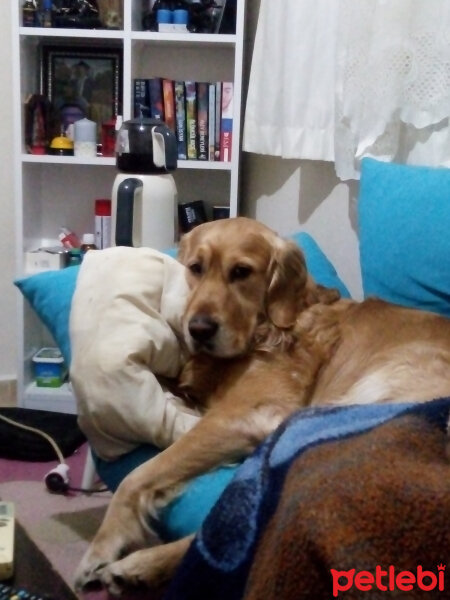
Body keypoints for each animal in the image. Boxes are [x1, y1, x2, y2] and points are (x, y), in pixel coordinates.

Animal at [74, 217, 450, 596]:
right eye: (196, 268)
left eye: (241, 272)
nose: (199, 329)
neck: (269, 328)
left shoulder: (249, 415)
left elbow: (138, 475)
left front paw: (101, 548)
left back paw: (140, 563)